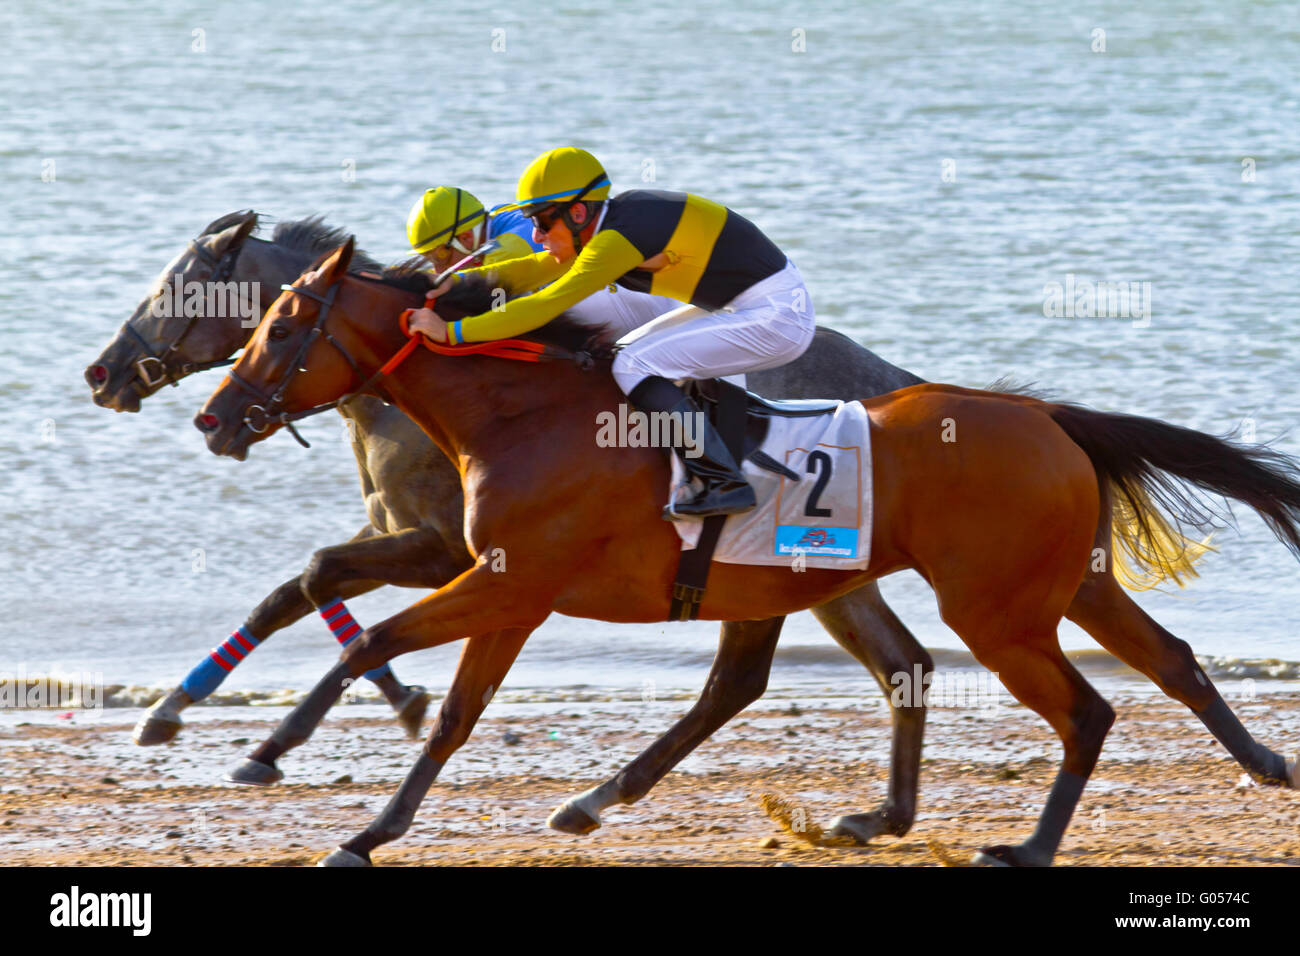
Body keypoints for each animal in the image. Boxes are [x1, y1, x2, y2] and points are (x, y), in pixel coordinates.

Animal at [85, 211, 936, 843]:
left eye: (176, 288)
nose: (104, 373)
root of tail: (900, 382)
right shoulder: (433, 548)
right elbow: (301, 587)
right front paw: (178, 709)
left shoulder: (447, 553)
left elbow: (320, 581)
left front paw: (302, 732)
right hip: (813, 575)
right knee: (881, 665)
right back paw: (871, 817)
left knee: (768, 677)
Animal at [195, 238, 1300, 866]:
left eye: (282, 326)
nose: (213, 416)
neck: (521, 415)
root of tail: (1046, 415)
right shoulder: (503, 591)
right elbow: (430, 693)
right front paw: (347, 804)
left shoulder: (506, 586)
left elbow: (385, 657)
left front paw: (305, 774)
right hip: (1046, 586)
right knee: (1164, 659)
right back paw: (1264, 762)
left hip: (996, 608)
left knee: (1086, 707)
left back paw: (1028, 845)